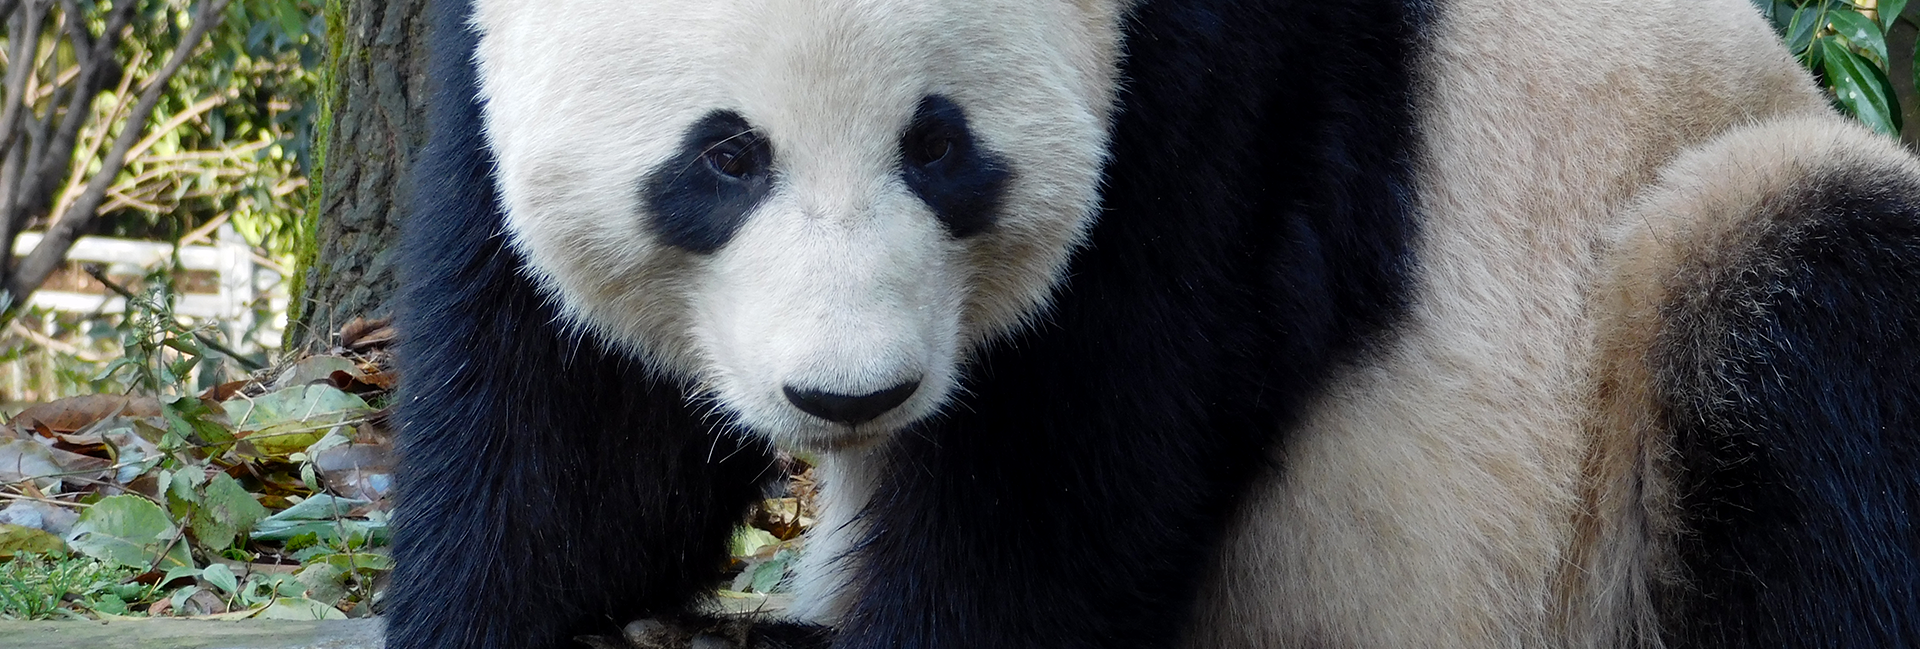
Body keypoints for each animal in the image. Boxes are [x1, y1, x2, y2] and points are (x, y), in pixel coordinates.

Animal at [387, 0, 1920, 647]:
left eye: (938, 145)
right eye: (725, 156)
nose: (848, 399)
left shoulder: (1208, 113)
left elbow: (1063, 471)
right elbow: (562, 426)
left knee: (1809, 311)